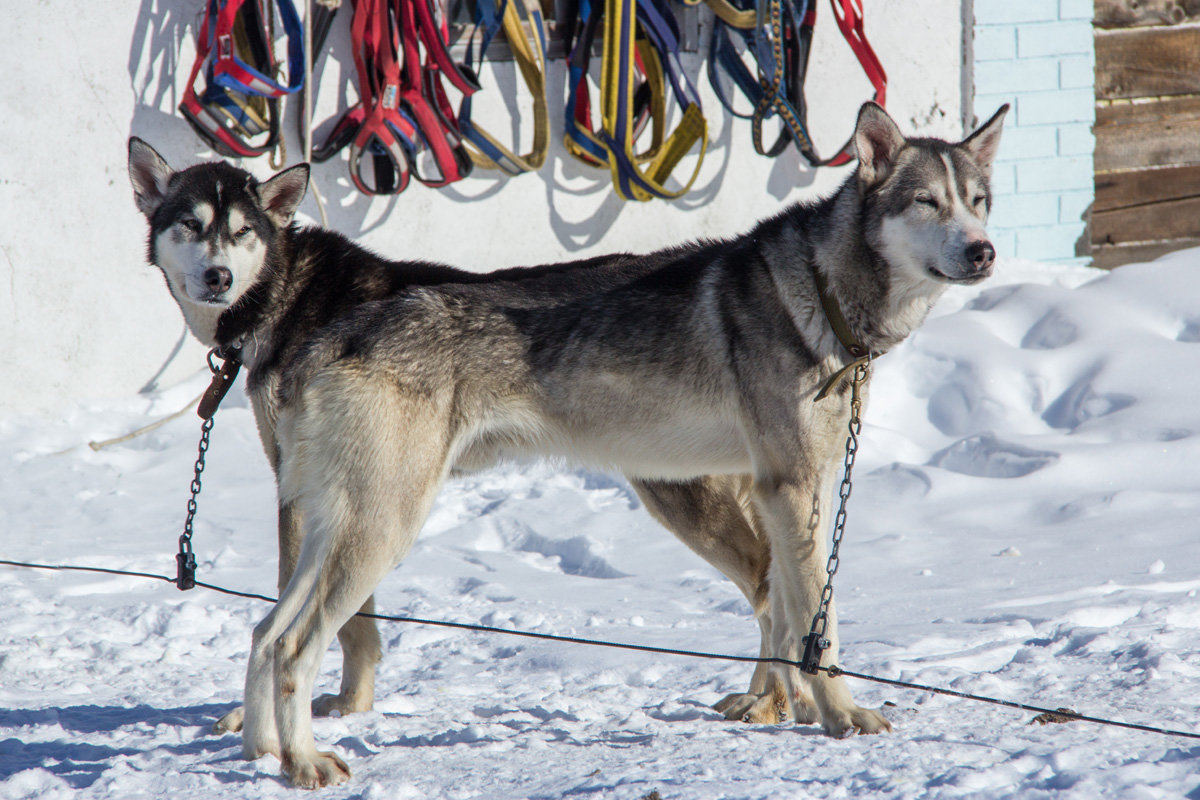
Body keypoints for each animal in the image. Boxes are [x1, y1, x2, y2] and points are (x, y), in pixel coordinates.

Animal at [126, 101, 1003, 786]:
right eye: (927, 203)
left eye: (979, 201)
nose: (984, 250)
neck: (821, 291)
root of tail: (335, 330)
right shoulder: (793, 488)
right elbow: (820, 627)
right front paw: (842, 715)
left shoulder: (792, 490)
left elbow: (799, 614)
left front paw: (800, 710)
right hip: (381, 527)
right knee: (296, 642)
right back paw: (304, 763)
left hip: (351, 525)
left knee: (267, 632)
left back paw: (262, 752)